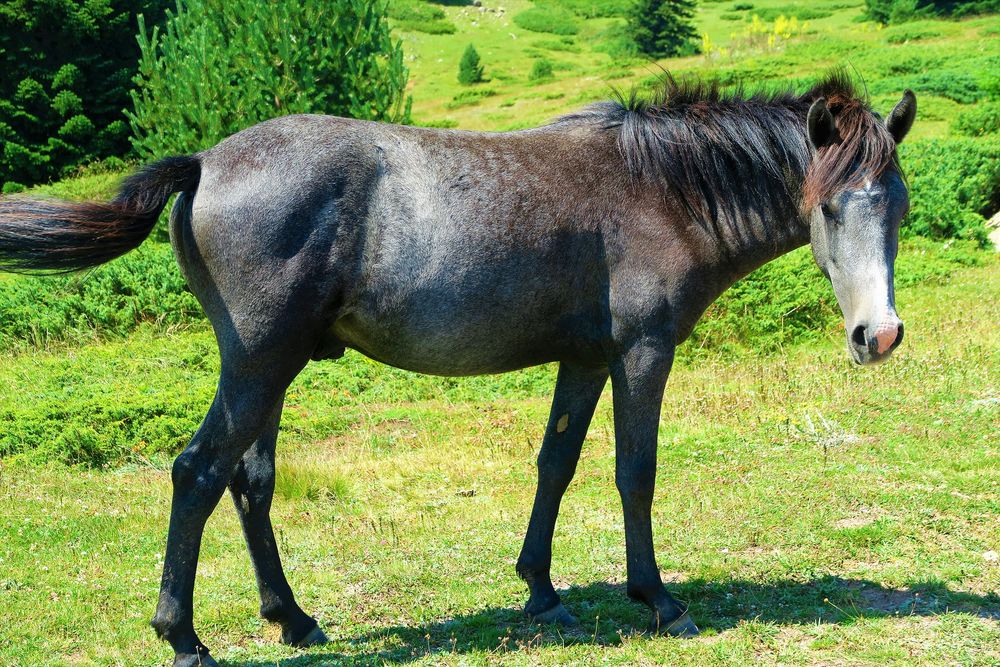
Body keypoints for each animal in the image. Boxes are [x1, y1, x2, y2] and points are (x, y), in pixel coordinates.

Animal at [0, 71, 915, 667]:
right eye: (831, 205)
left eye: (898, 207)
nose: (879, 335)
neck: (659, 189)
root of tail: (203, 161)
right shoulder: (642, 353)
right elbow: (635, 471)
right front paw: (658, 598)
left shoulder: (584, 359)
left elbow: (556, 463)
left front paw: (540, 587)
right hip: (259, 366)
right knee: (197, 472)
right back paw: (184, 637)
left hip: (271, 371)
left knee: (248, 481)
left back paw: (292, 616)